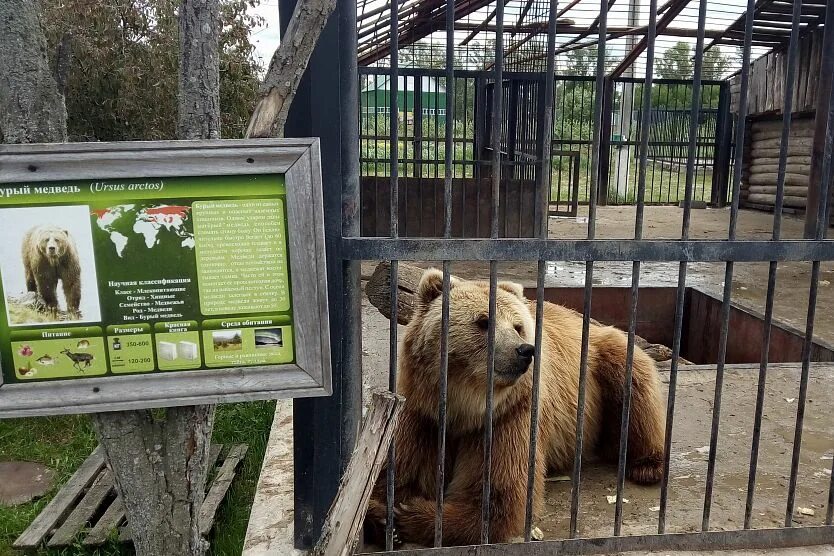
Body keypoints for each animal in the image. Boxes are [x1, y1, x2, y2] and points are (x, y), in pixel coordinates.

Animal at [364, 268, 664, 548]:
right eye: (483, 321)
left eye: (518, 326)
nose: (524, 350)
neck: (464, 407)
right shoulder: (422, 414)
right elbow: (391, 473)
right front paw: (385, 520)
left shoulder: (509, 417)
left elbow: (495, 498)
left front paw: (409, 513)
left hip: (602, 361)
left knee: (633, 382)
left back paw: (647, 465)